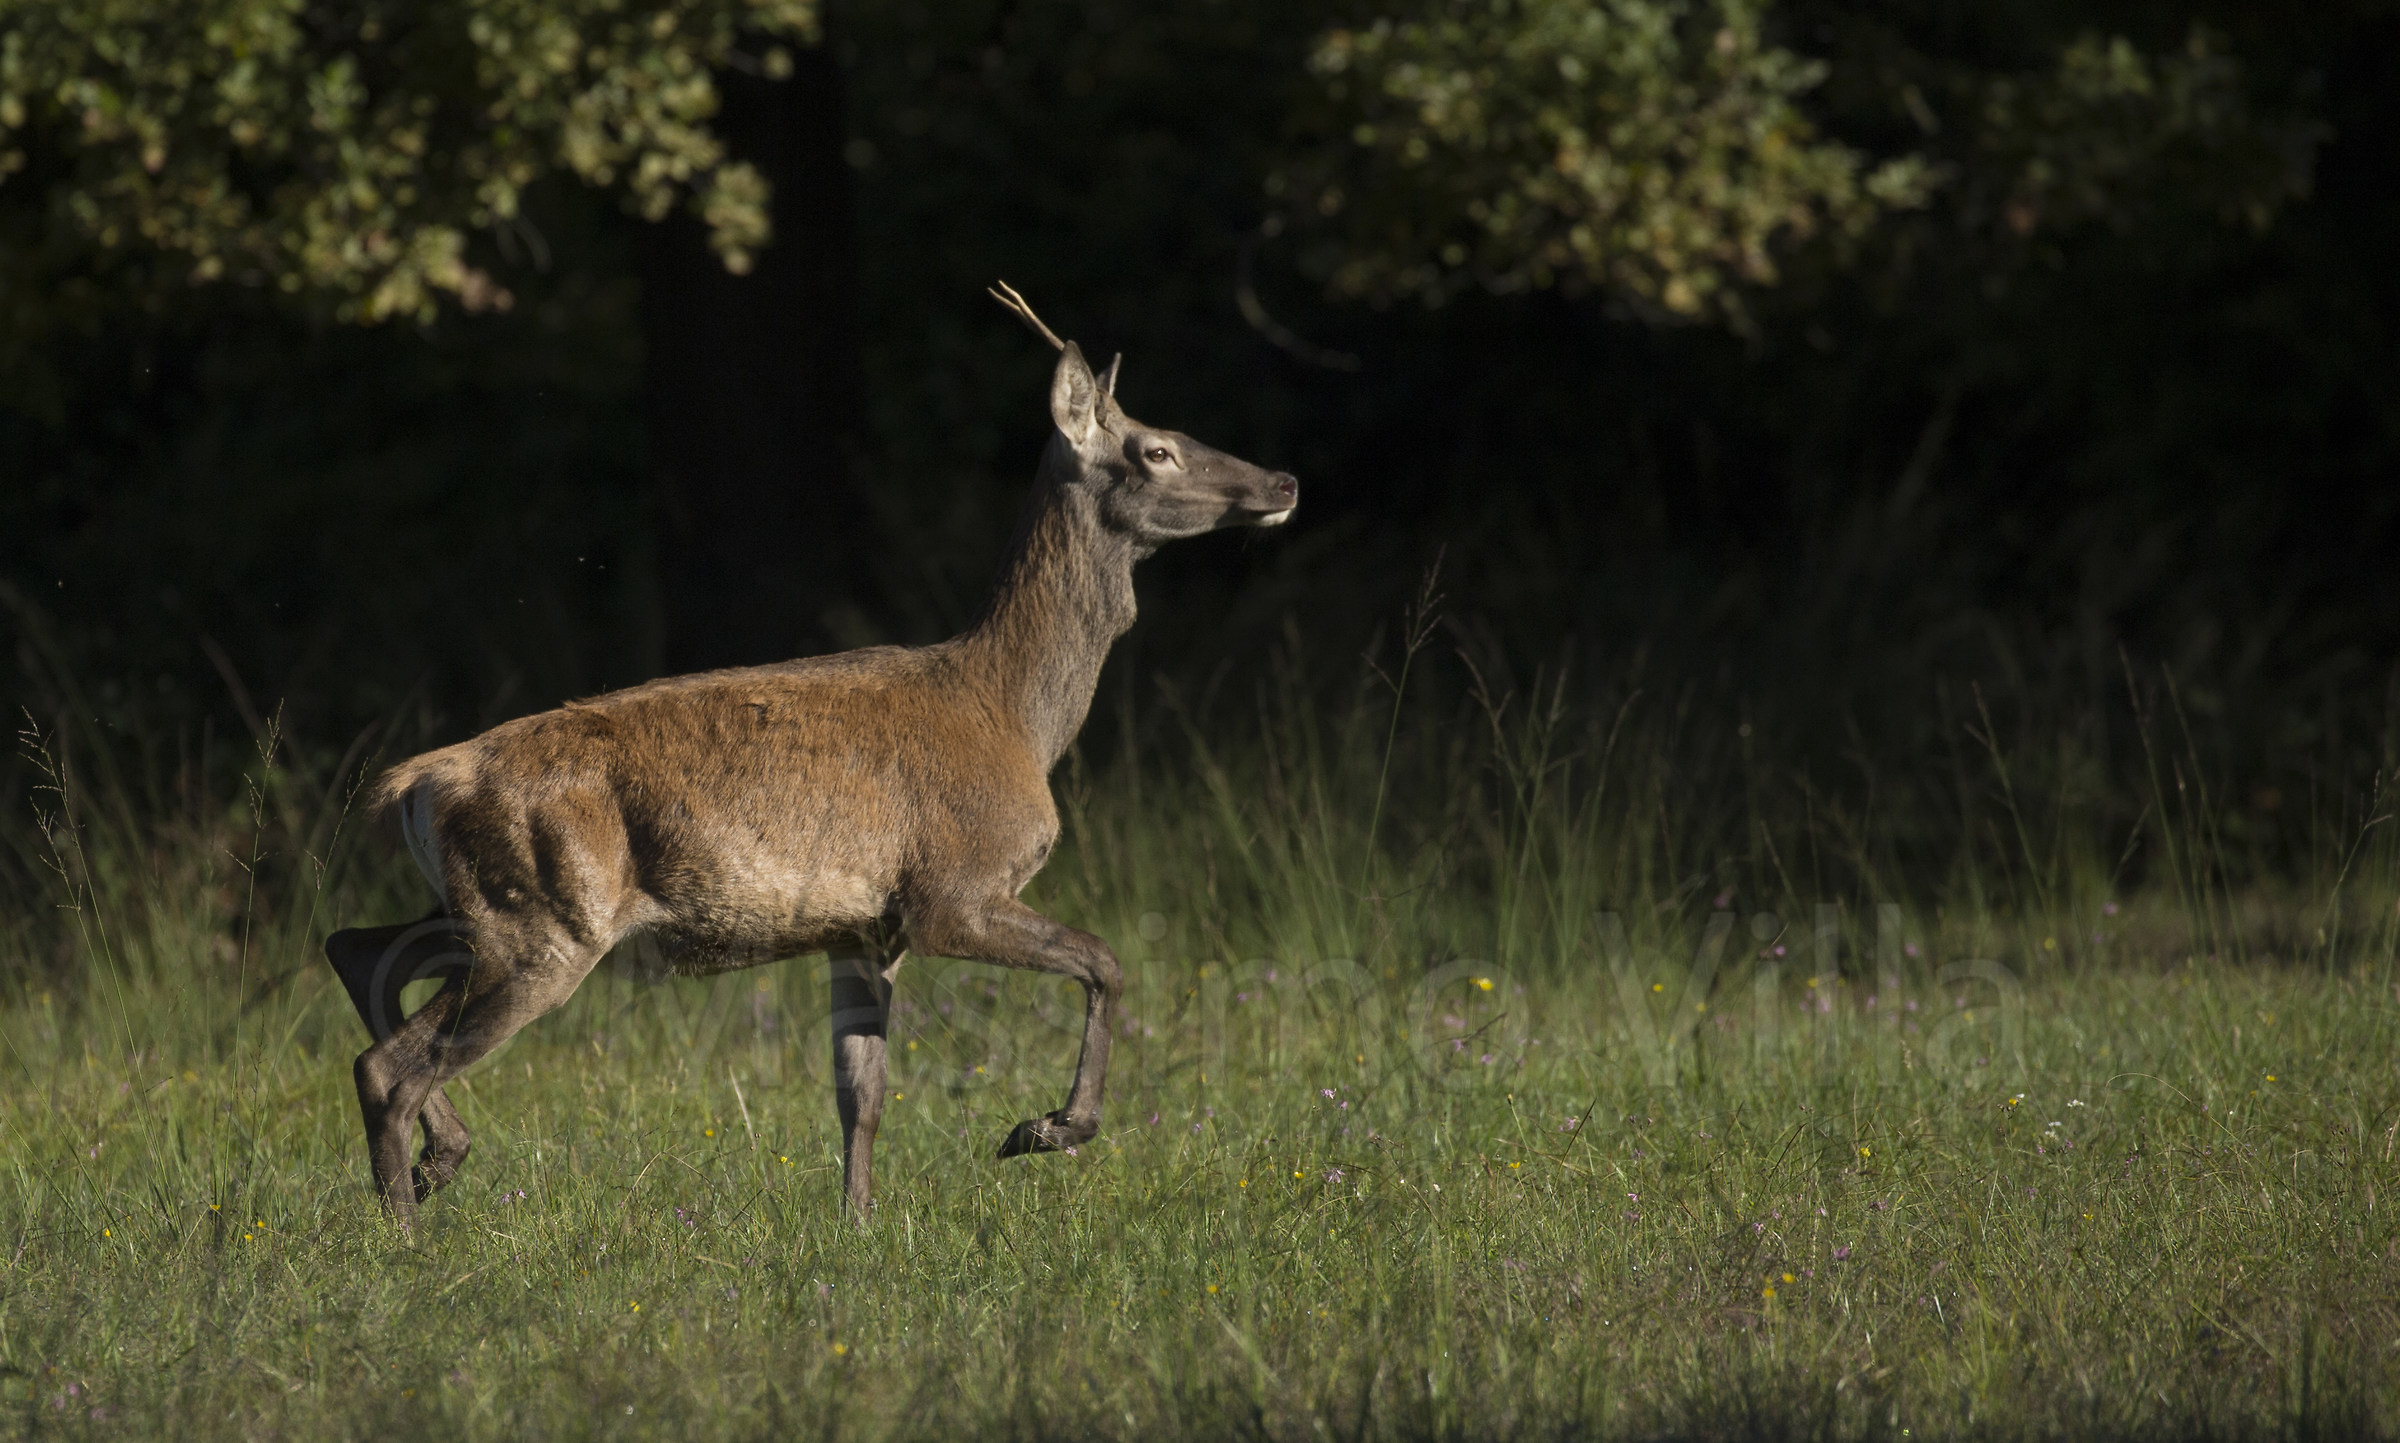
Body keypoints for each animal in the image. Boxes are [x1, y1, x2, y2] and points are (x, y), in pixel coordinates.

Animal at [322, 286, 1298, 1226]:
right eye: (1156, 449)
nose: (1283, 478)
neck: (1016, 714)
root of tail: (413, 783)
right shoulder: (954, 889)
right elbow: (1106, 959)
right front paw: (1044, 1129)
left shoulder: (866, 927)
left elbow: (861, 1093)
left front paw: (858, 1227)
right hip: (545, 922)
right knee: (390, 1064)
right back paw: (409, 1225)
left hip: (484, 910)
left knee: (357, 950)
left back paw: (438, 1161)